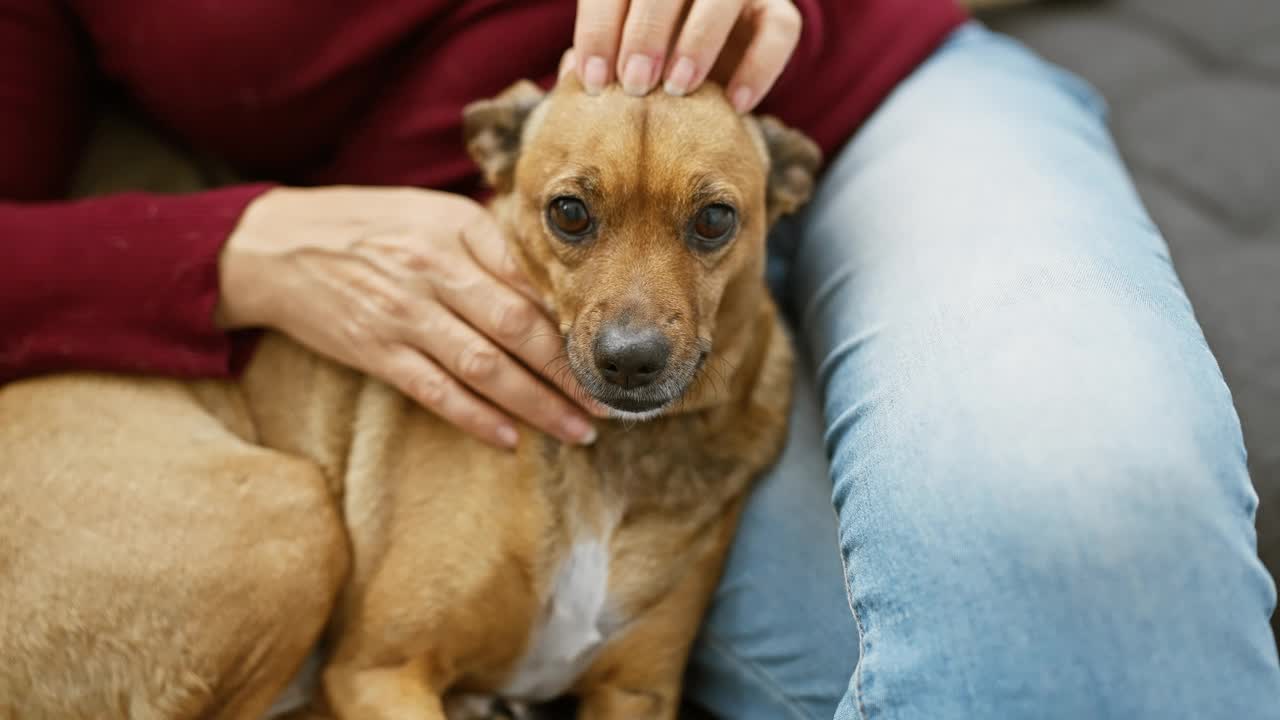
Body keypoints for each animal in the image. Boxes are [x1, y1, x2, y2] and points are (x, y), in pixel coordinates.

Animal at [0, 74, 819, 717]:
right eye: (569, 213)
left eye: (714, 219)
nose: (630, 362)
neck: (613, 458)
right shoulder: (378, 672)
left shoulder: (636, 694)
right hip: (293, 513)